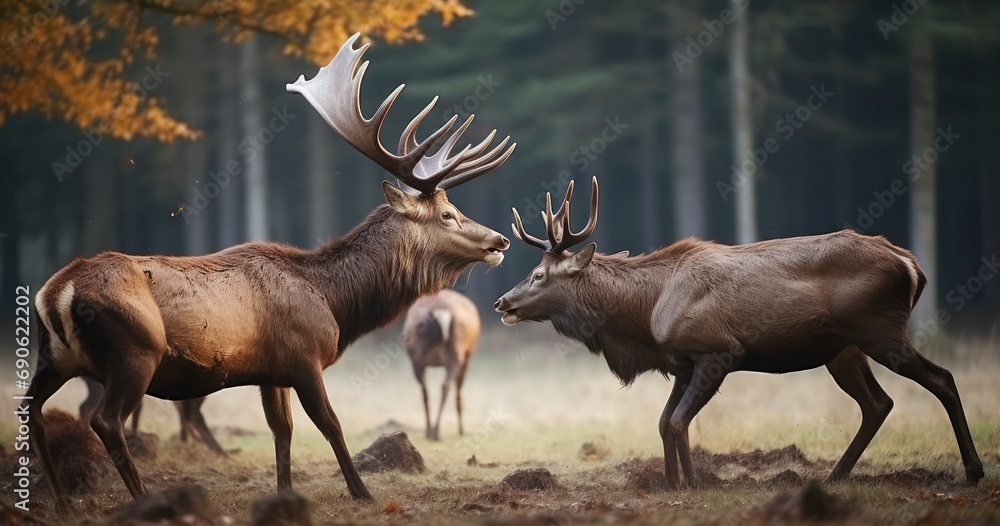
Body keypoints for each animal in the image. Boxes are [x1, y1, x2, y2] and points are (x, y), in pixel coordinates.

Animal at [402, 289, 481, 440]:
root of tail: (440, 313)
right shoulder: (469, 353)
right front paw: (461, 431)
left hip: (418, 356)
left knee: (426, 391)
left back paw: (431, 431)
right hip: (456, 350)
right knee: (445, 386)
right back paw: (438, 431)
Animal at [494, 176, 984, 489]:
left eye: (538, 275)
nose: (502, 302)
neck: (646, 319)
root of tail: (912, 266)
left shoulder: (718, 351)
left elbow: (677, 420)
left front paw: (693, 484)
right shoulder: (683, 362)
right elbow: (663, 421)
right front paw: (668, 483)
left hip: (879, 330)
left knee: (942, 379)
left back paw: (974, 471)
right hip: (843, 348)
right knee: (878, 403)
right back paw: (834, 476)